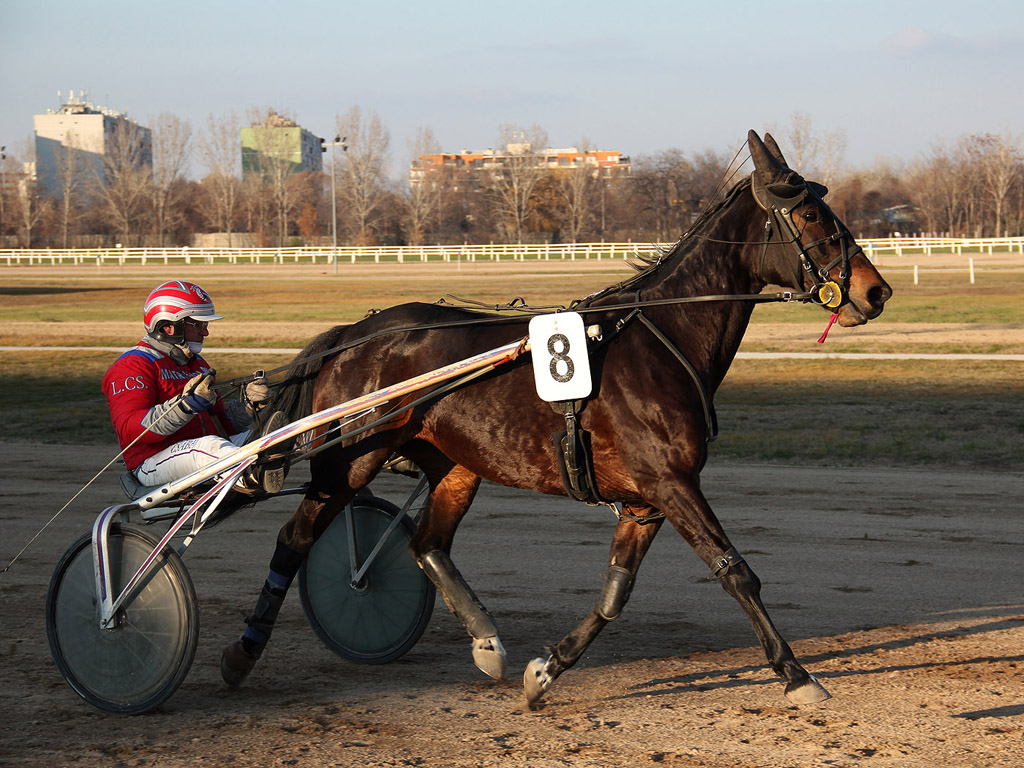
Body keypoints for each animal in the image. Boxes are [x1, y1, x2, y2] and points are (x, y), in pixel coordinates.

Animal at [222, 131, 888, 708]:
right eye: (811, 216)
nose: (875, 291)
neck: (665, 335)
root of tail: (352, 333)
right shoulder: (671, 483)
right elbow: (736, 572)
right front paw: (797, 674)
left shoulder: (647, 499)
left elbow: (615, 596)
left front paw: (545, 670)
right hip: (351, 457)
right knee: (295, 539)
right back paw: (242, 652)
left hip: (457, 464)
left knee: (426, 544)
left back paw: (487, 643)